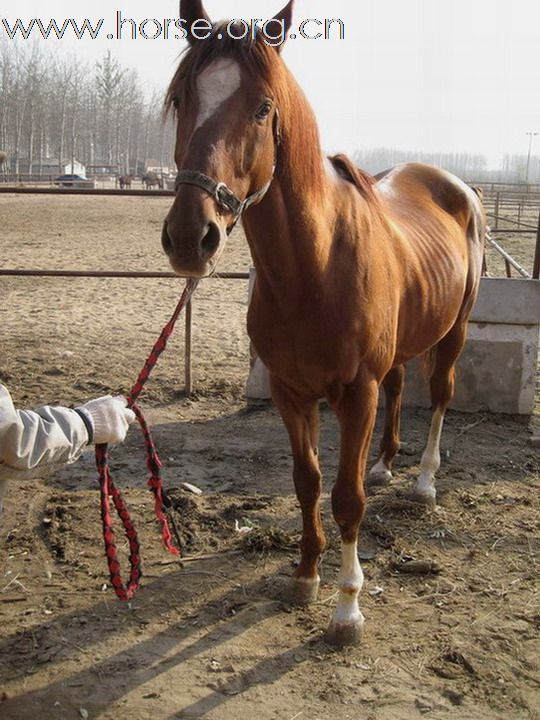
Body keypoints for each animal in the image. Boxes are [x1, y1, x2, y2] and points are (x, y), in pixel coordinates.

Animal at [161, 0, 486, 644]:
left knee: (439, 395)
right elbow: (307, 481)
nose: (190, 236)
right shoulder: (292, 393)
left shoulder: (354, 393)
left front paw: (347, 607)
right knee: (400, 387)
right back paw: (386, 464)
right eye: (182, 98)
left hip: (454, 332)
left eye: (263, 107)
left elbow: (346, 497)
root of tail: (455, 187)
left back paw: (423, 482)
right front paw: (306, 575)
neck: (314, 268)